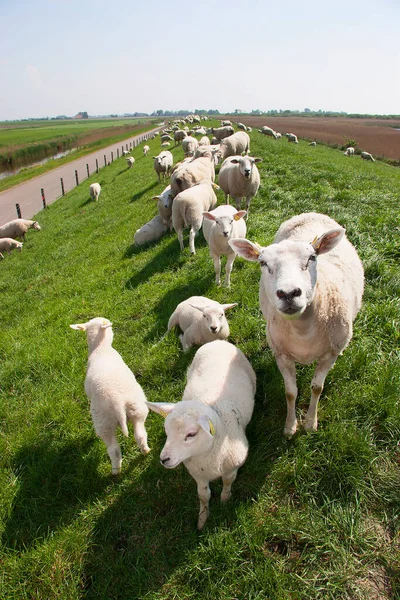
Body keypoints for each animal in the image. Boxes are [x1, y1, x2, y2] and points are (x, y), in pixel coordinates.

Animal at [69, 316, 151, 476]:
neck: (101, 349)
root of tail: (117, 402)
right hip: (136, 408)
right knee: (140, 435)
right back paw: (146, 451)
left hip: (103, 421)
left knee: (113, 450)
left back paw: (115, 471)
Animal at [147, 340, 256, 532]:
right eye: (167, 431)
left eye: (191, 434)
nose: (164, 459)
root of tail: (216, 341)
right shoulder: (198, 474)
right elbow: (203, 496)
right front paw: (202, 519)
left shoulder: (232, 466)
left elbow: (228, 482)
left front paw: (225, 499)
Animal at [230, 211, 364, 436]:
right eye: (263, 263)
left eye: (312, 258)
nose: (289, 293)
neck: (303, 331)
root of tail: (311, 213)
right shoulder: (281, 354)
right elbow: (290, 392)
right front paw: (290, 426)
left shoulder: (330, 354)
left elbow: (317, 388)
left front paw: (310, 423)